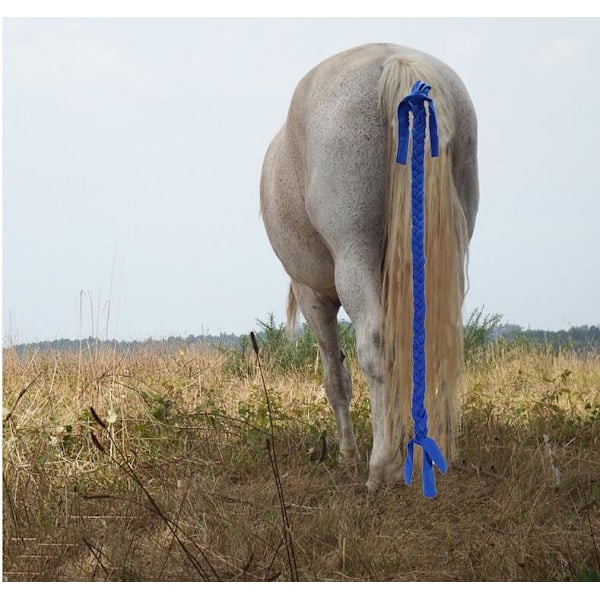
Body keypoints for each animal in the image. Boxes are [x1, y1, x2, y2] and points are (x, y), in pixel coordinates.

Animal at [258, 43, 478, 492]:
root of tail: (396, 61)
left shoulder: (313, 297)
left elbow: (336, 378)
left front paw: (348, 453)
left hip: (353, 254)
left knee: (375, 346)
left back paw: (379, 467)